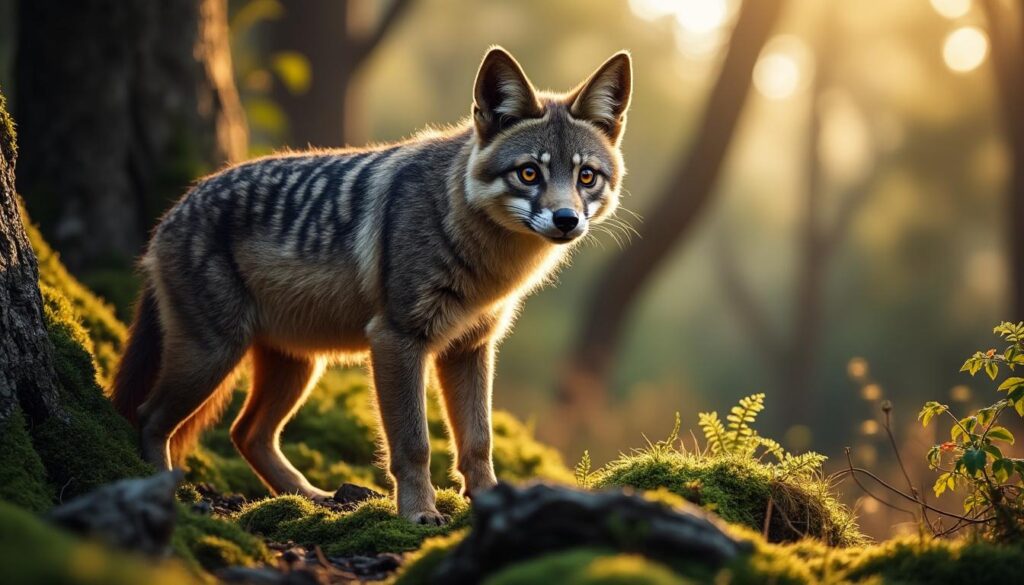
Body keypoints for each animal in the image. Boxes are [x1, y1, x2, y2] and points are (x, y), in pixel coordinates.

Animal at [111, 46, 632, 524]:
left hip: (297, 368)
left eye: (586, 176)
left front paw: (491, 502)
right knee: (150, 417)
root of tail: (168, 218)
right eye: (529, 172)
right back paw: (165, 494)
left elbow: (478, 441)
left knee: (247, 433)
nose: (566, 220)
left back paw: (311, 499)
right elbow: (415, 445)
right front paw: (420, 515)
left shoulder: (470, 347)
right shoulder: (396, 340)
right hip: (216, 357)